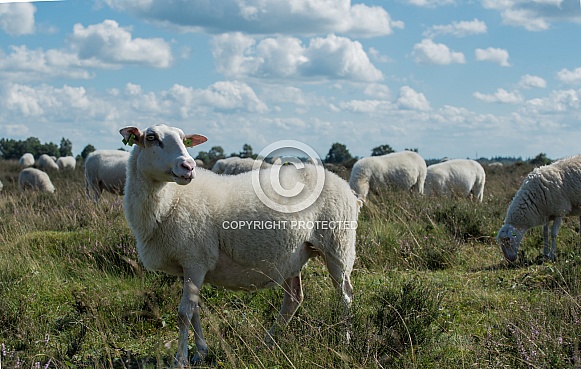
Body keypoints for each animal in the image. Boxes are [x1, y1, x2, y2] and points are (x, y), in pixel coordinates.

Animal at [120, 124, 360, 366]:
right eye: (152, 138)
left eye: (184, 140)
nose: (188, 166)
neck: (170, 200)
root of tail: (344, 185)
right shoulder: (187, 264)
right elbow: (194, 309)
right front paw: (200, 353)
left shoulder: (195, 260)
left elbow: (184, 313)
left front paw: (180, 360)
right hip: (294, 255)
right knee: (294, 299)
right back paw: (266, 342)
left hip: (338, 244)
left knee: (344, 295)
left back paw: (345, 340)